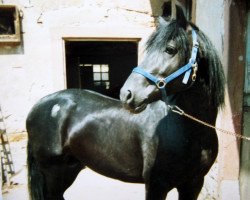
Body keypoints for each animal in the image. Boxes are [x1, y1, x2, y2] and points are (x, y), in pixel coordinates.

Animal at [26, 3, 226, 200]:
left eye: (170, 49)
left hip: (70, 168)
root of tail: (38, 106)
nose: (127, 94)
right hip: (52, 171)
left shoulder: (193, 185)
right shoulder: (156, 186)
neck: (191, 132)